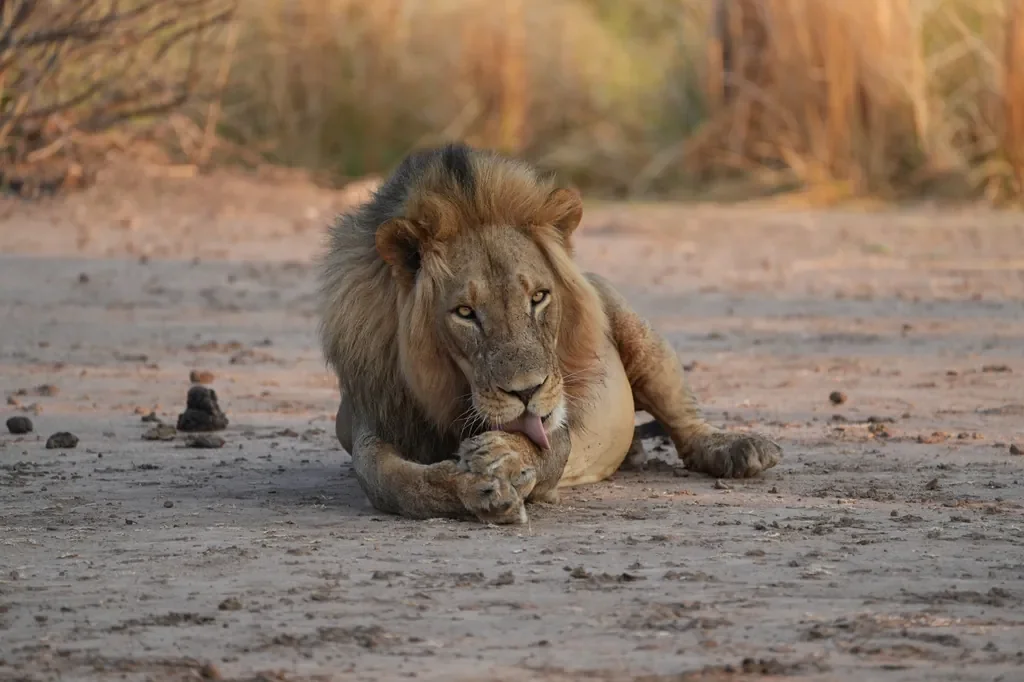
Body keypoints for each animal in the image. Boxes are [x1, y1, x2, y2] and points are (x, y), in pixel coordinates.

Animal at [317, 143, 781, 525]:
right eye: (465, 313)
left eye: (539, 297)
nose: (526, 391)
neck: (450, 394)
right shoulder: (372, 418)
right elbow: (388, 480)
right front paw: (476, 488)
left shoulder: (559, 423)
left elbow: (544, 448)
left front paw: (502, 457)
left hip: (637, 332)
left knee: (685, 419)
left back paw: (738, 449)